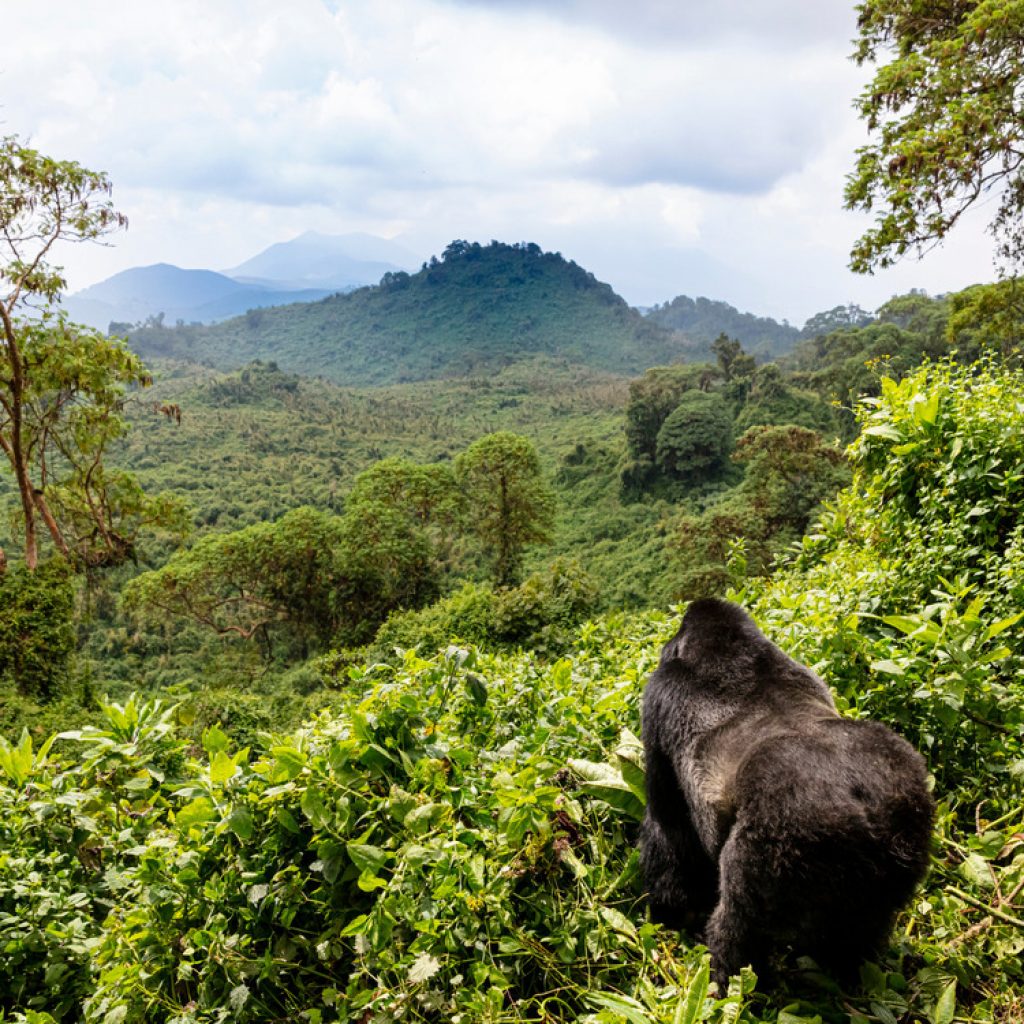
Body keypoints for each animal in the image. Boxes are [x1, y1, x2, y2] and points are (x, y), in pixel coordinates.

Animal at [639, 598, 934, 990]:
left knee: (739, 927)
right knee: (862, 928)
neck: (730, 650)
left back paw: (729, 980)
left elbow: (668, 824)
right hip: (908, 824)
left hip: (782, 836)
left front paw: (674, 911)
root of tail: (865, 808)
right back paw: (848, 968)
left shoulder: (658, 696)